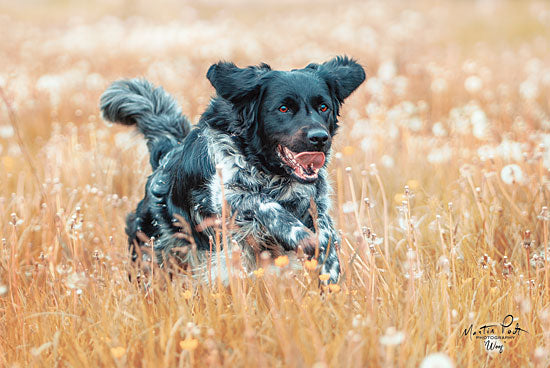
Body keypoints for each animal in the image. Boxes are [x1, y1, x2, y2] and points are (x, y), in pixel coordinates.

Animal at [100, 56, 366, 284]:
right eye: (283, 108)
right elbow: (263, 203)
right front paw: (299, 235)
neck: (271, 174)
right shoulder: (227, 197)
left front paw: (330, 271)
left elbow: (325, 232)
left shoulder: (314, 201)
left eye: (323, 107)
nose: (319, 138)